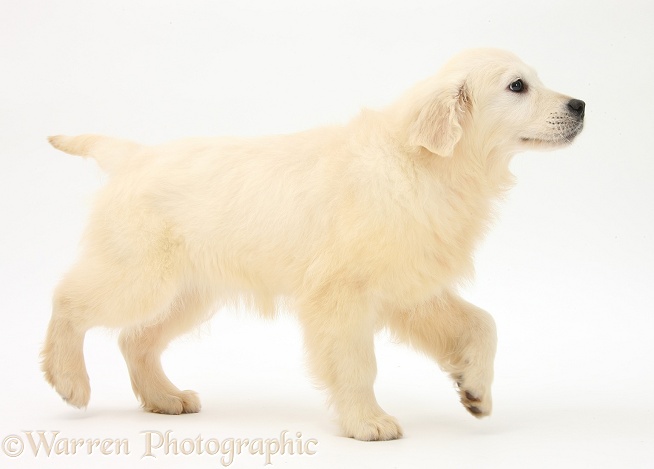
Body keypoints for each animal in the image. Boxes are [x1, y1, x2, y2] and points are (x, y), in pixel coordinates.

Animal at [41, 49, 588, 440]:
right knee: (69, 300)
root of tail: (132, 155)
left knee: (135, 340)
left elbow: (482, 323)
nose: (580, 105)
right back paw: (68, 380)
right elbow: (357, 363)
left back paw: (163, 397)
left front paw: (475, 390)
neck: (423, 164)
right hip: (138, 275)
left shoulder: (409, 286)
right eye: (517, 86)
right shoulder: (341, 296)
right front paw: (367, 422)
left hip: (188, 292)